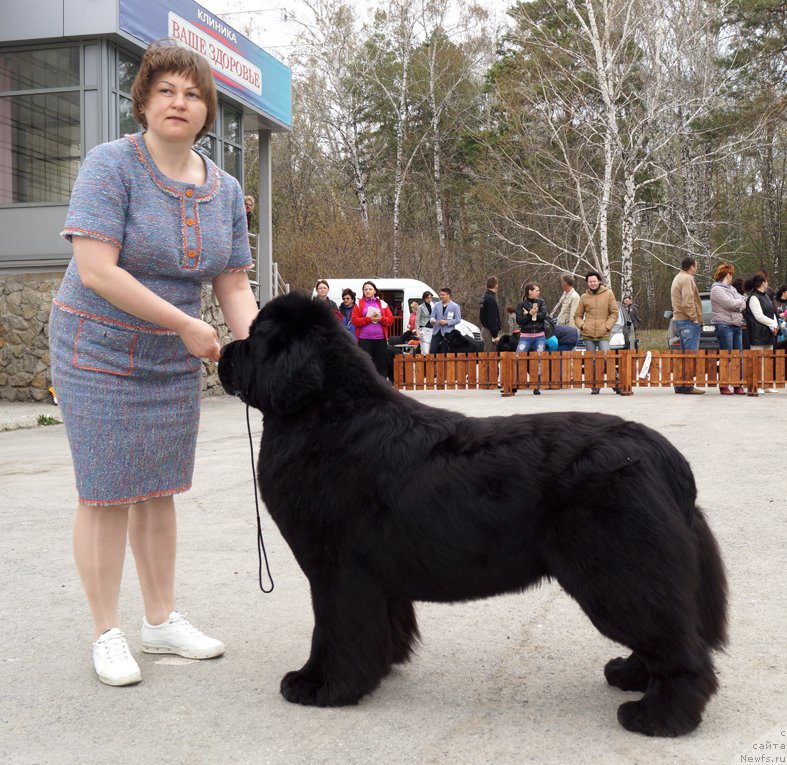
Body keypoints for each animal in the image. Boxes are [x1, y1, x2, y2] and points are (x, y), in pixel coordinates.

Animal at [219, 290, 728, 736]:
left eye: (253, 338)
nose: (221, 351)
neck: (326, 413)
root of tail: (664, 455)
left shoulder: (337, 571)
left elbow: (333, 631)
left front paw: (320, 685)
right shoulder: (374, 577)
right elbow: (382, 629)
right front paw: (379, 669)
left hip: (619, 572)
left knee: (678, 646)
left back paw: (659, 716)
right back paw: (631, 675)